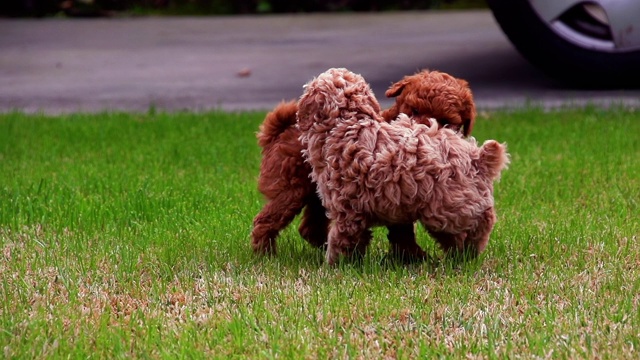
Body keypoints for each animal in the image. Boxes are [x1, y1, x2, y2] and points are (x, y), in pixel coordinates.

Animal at [298, 68, 508, 264]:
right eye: (413, 111)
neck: (350, 120)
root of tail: (479, 158)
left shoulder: (347, 209)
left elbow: (342, 239)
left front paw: (334, 266)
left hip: (447, 206)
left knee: (474, 225)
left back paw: (466, 253)